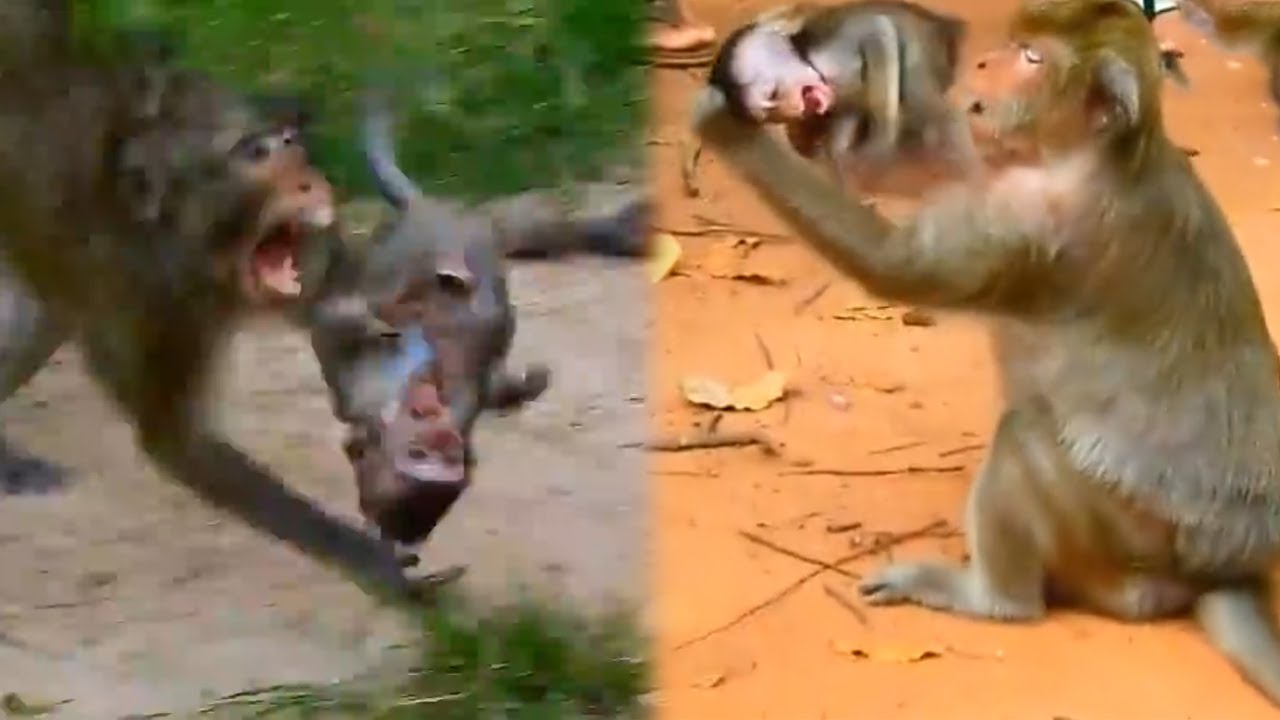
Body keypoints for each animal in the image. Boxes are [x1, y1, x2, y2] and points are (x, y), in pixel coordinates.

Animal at [706, 1, 980, 184]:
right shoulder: (838, 99)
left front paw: (879, 144)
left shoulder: (834, 54)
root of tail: (944, 26)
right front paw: (837, 159)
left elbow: (878, 29)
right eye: (772, 112)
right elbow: (846, 117)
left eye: (772, 94)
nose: (793, 108)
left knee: (926, 100)